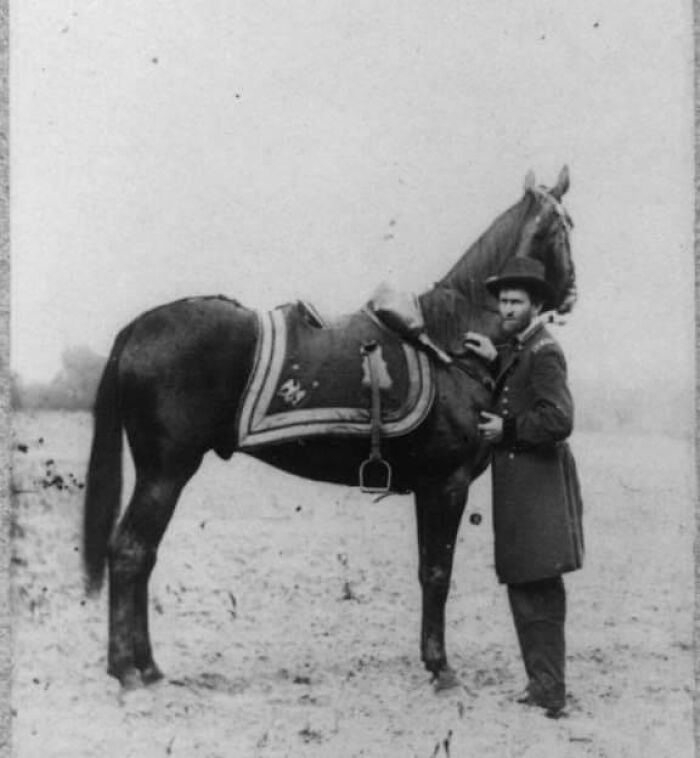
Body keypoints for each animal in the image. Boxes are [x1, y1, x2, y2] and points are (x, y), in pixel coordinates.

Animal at [83, 166, 577, 692]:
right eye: (564, 227)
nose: (571, 293)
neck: (448, 341)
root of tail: (138, 327)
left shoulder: (431, 488)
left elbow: (428, 570)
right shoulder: (447, 485)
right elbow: (437, 572)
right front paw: (441, 668)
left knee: (140, 554)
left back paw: (147, 667)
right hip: (166, 471)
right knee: (131, 551)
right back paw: (129, 670)